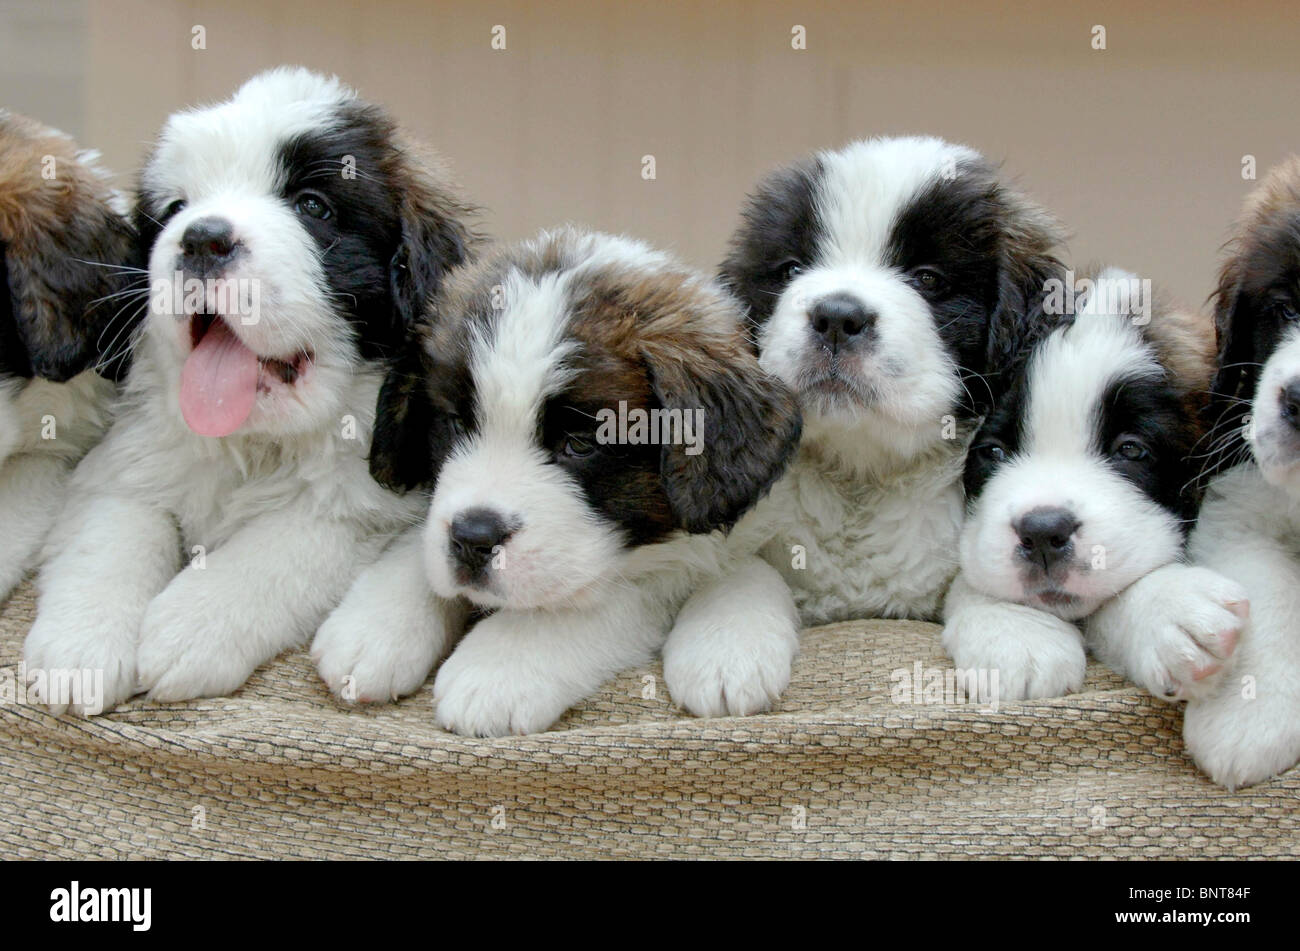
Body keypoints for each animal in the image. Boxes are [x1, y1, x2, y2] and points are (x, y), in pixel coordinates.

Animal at [25, 68, 478, 711]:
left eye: (312, 206)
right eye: (177, 209)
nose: (202, 239)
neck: (258, 444)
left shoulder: (367, 501)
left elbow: (283, 546)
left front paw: (190, 627)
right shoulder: (127, 460)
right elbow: (113, 530)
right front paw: (81, 646)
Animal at [314, 228, 800, 737]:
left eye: (580, 445)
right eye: (454, 424)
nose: (473, 539)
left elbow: (604, 598)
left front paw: (498, 665)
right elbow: (423, 544)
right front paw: (377, 624)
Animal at [660, 137, 1066, 717]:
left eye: (928, 279)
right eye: (790, 270)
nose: (836, 317)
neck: (862, 478)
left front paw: (1020, 634)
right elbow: (743, 569)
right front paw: (723, 648)